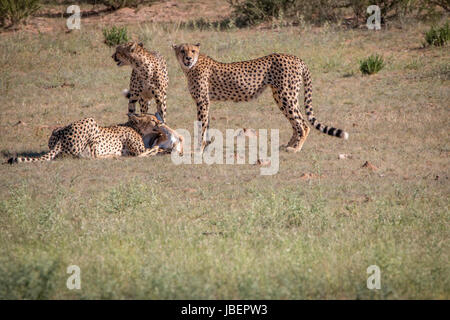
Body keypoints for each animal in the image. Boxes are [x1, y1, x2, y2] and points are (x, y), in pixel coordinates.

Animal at [7, 115, 159, 165]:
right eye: (152, 120)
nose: (160, 122)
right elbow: (145, 151)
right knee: (93, 156)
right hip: (91, 121)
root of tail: (61, 136)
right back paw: (113, 156)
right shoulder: (138, 149)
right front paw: (157, 148)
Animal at [171, 43, 348, 153]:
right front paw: (205, 147)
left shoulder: (202, 101)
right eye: (182, 51)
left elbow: (201, 126)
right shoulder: (206, 102)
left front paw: (199, 149)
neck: (191, 67)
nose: (188, 58)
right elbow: (206, 125)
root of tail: (296, 58)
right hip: (283, 96)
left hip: (285, 95)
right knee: (296, 122)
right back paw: (287, 145)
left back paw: (295, 148)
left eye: (192, 51)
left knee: (303, 123)